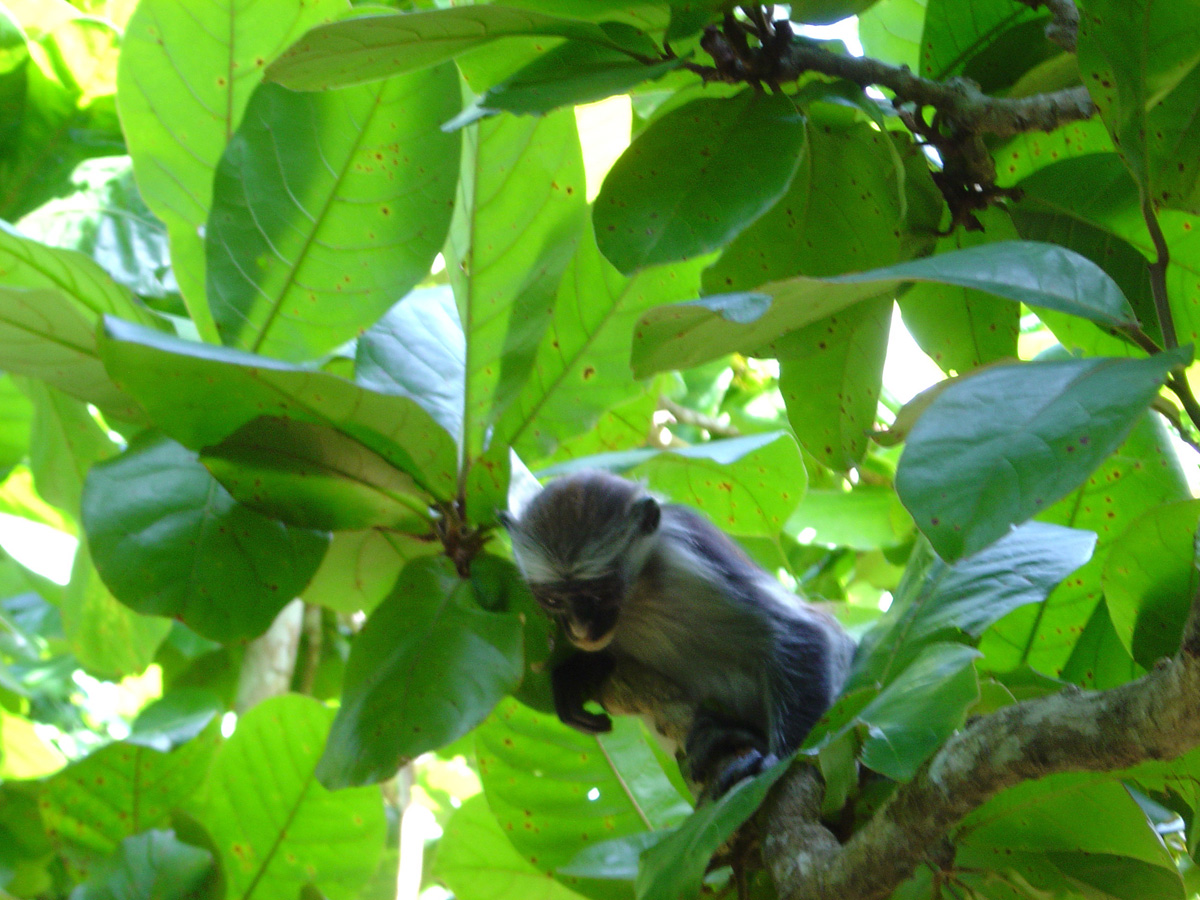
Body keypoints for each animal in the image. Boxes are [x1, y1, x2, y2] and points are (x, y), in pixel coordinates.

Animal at [500, 470, 856, 792]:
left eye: (599, 593)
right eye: (552, 599)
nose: (581, 629)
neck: (635, 598)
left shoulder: (684, 555)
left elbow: (802, 631)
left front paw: (779, 759)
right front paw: (575, 675)